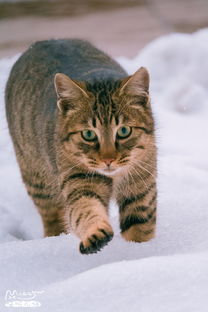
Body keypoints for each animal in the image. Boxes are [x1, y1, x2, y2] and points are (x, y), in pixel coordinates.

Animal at [5, 38, 156, 254]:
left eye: (124, 131)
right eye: (88, 134)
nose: (108, 160)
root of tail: (45, 41)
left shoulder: (141, 186)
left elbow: (140, 228)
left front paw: (143, 252)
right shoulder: (78, 181)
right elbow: (84, 210)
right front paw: (96, 234)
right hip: (37, 179)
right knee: (52, 217)